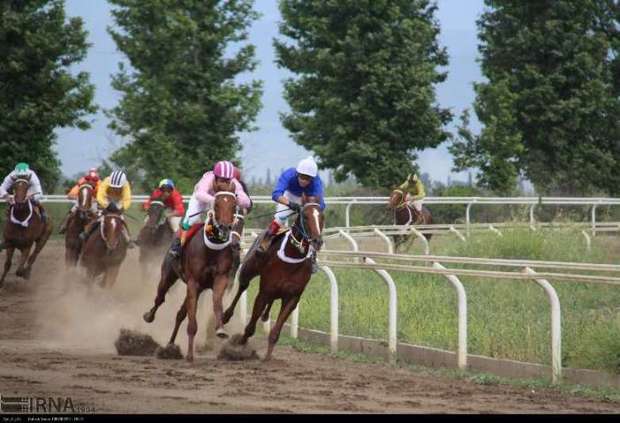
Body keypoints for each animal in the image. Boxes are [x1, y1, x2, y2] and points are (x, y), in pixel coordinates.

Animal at [143, 186, 240, 362]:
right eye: (216, 205)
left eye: (234, 205)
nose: (224, 227)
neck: (211, 248)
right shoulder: (193, 282)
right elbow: (192, 321)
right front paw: (189, 355)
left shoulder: (220, 279)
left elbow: (216, 302)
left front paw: (220, 328)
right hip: (169, 275)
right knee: (160, 297)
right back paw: (149, 316)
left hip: (197, 288)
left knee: (180, 314)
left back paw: (170, 345)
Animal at [222, 195, 324, 362]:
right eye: (305, 215)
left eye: (322, 216)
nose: (317, 241)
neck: (292, 257)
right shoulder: (264, 291)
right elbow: (250, 328)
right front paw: (238, 345)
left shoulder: (292, 297)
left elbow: (276, 332)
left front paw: (268, 357)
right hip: (248, 270)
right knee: (242, 286)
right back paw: (226, 316)